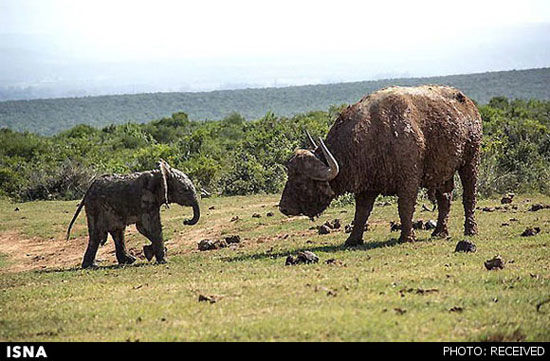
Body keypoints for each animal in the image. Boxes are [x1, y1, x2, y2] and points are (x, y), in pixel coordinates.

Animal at [67, 160, 201, 268]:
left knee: (117, 232)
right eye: (185, 190)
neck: (159, 175)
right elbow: (150, 227)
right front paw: (162, 260)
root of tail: (88, 190)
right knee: (98, 235)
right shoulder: (146, 201)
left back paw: (127, 261)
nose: (185, 221)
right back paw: (91, 266)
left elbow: (143, 228)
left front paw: (149, 252)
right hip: (95, 207)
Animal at [280, 84, 484, 245]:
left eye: (301, 182)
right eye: (290, 176)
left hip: (470, 161)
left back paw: (471, 230)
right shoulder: (366, 186)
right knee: (445, 199)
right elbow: (361, 213)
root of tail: (470, 106)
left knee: (469, 196)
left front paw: (406, 237)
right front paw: (353, 239)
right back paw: (439, 232)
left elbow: (405, 207)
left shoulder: (409, 180)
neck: (372, 135)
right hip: (443, 171)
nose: (283, 207)